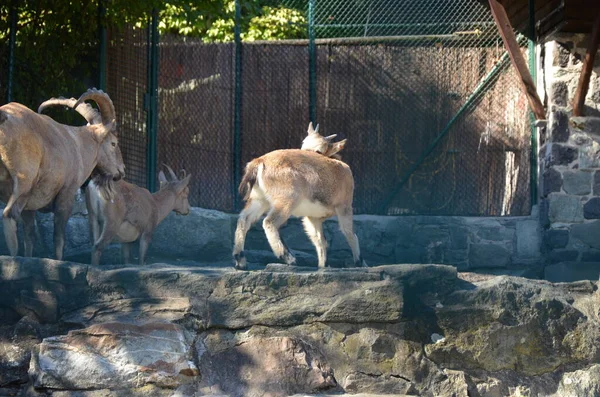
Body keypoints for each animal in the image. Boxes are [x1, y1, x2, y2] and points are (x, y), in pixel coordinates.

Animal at [0, 88, 124, 258]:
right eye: (113, 143)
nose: (122, 170)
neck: (78, 146)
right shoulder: (66, 194)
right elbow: (59, 238)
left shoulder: (29, 207)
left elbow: (29, 237)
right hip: (23, 181)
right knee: (8, 214)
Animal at [233, 125, 366, 270]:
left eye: (319, 150)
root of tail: (259, 162)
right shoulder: (344, 206)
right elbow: (350, 233)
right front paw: (360, 262)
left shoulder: (313, 217)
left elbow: (320, 241)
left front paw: (323, 266)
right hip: (287, 200)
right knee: (269, 222)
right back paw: (288, 258)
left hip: (259, 200)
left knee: (244, 219)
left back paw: (240, 261)